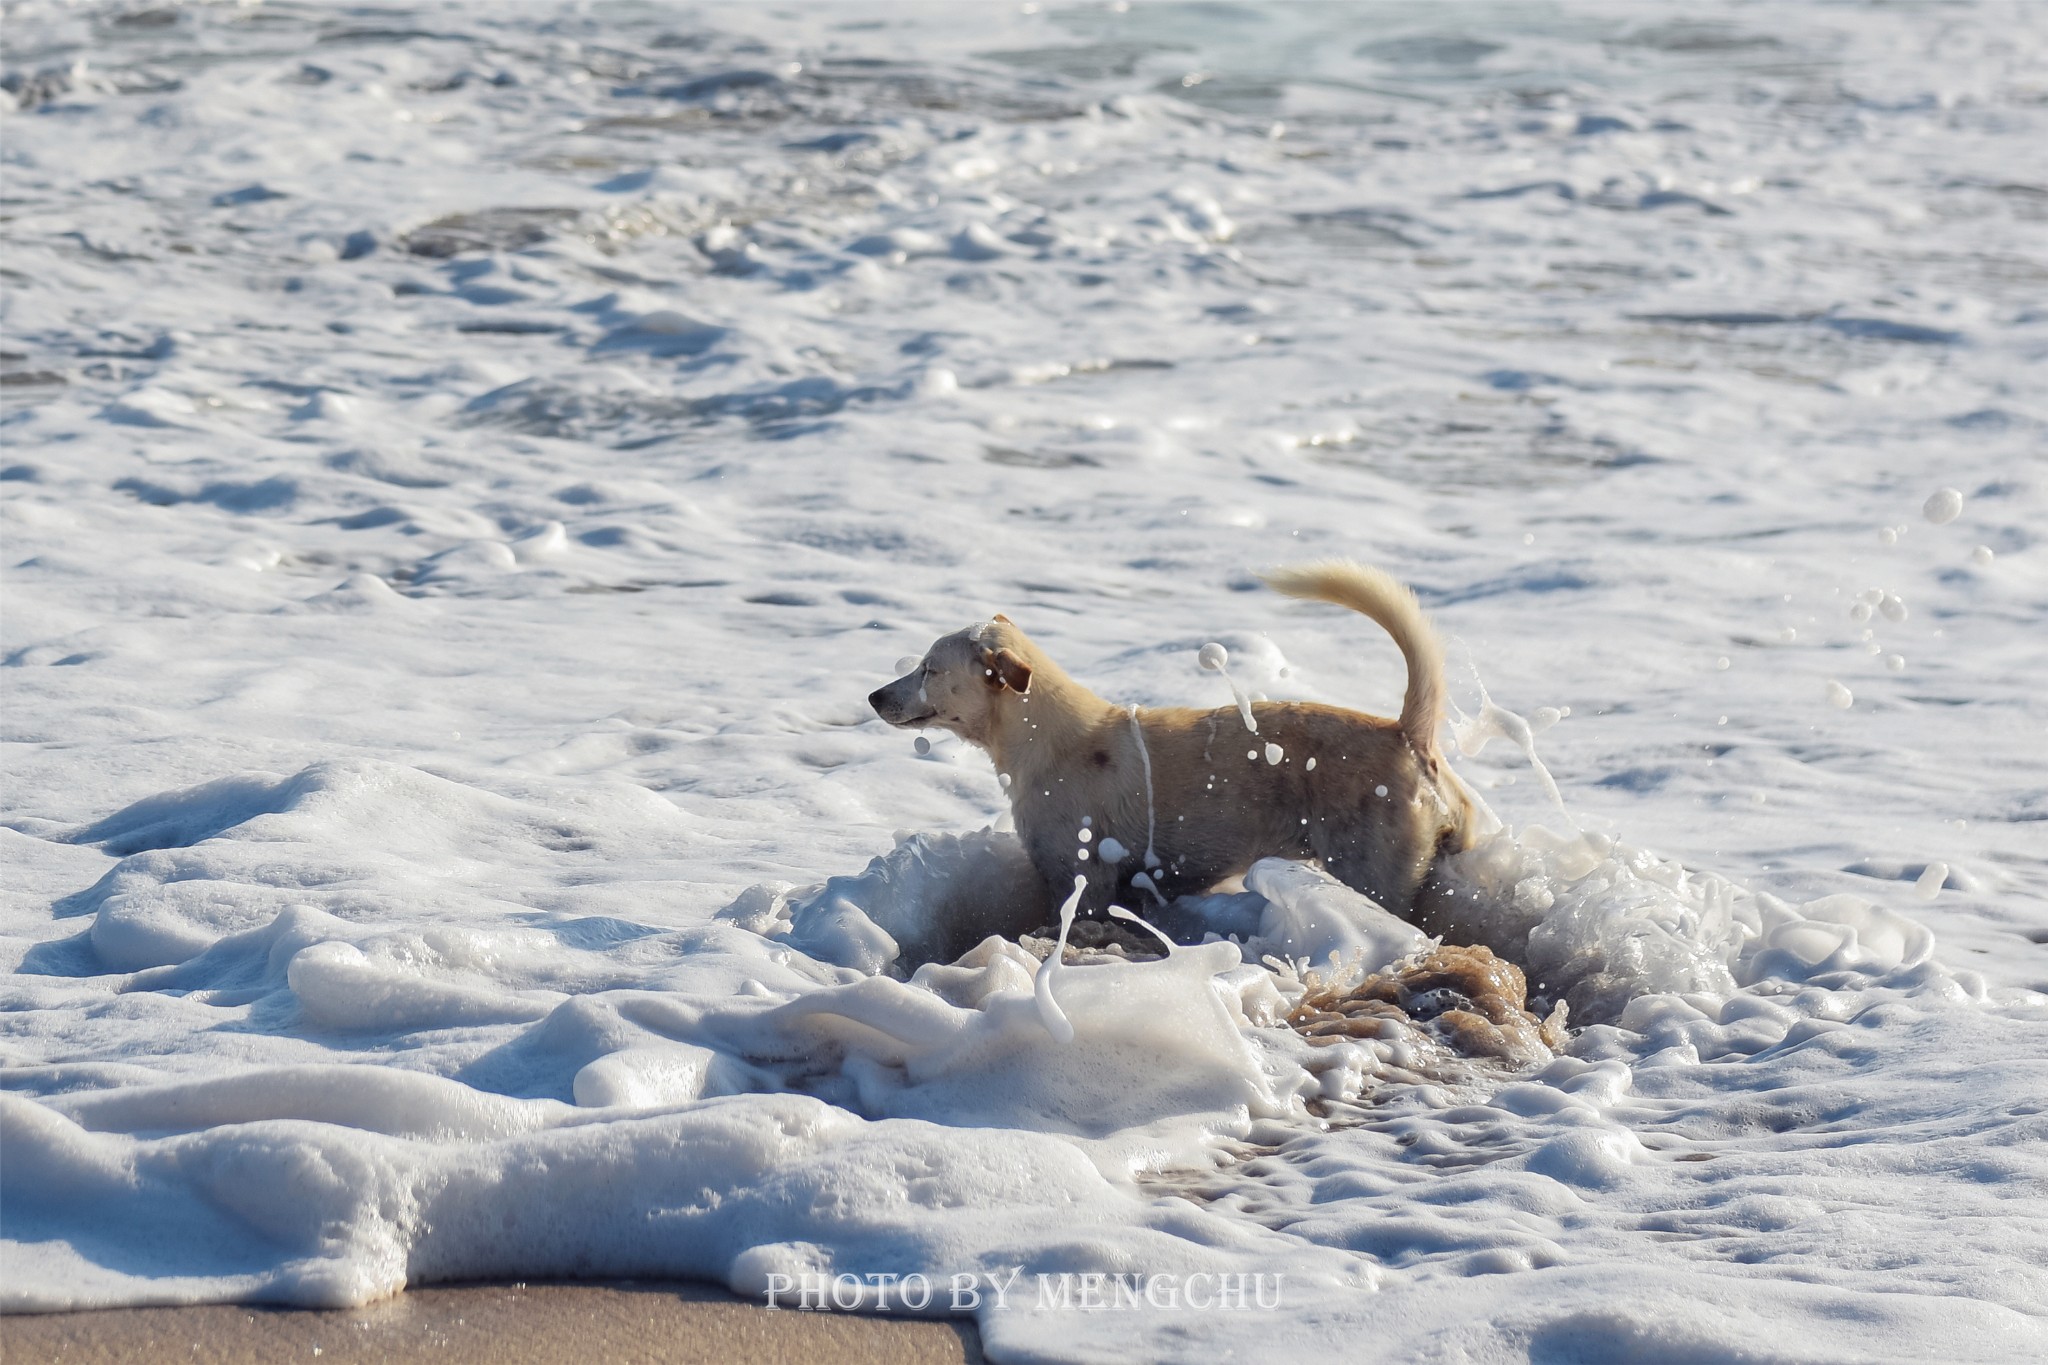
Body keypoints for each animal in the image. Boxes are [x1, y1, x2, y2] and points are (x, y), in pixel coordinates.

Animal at [864, 556, 1474, 929]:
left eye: (928, 669)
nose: (872, 696)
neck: (1045, 738)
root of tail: (1407, 733)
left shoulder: (1081, 879)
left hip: (1373, 872)